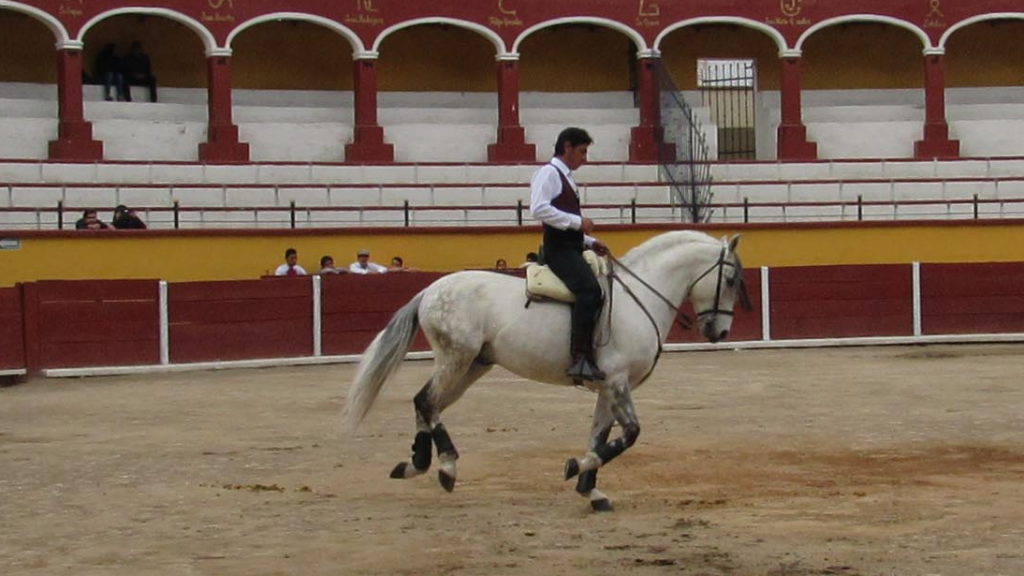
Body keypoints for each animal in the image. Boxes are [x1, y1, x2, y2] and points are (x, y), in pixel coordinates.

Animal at [348, 227, 749, 506]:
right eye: (730, 280)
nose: (719, 332)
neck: (639, 297)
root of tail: (429, 291)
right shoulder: (618, 382)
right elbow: (631, 433)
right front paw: (576, 468)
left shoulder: (607, 387)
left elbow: (599, 434)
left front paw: (590, 489)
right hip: (455, 359)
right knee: (427, 402)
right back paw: (445, 468)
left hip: (472, 365)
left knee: (426, 403)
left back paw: (416, 464)